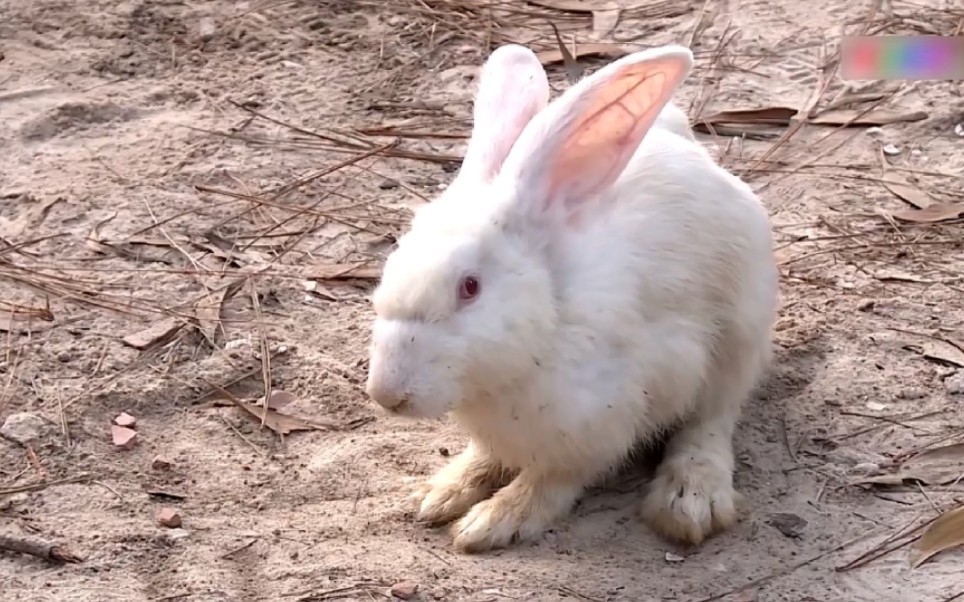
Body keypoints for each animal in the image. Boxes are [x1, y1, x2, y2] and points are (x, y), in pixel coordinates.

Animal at [366, 42, 780, 552]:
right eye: (392, 262)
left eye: (470, 286)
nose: (386, 394)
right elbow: (485, 458)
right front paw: (442, 492)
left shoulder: (603, 422)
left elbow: (553, 480)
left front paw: (493, 520)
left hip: (739, 335)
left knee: (713, 419)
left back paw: (689, 500)